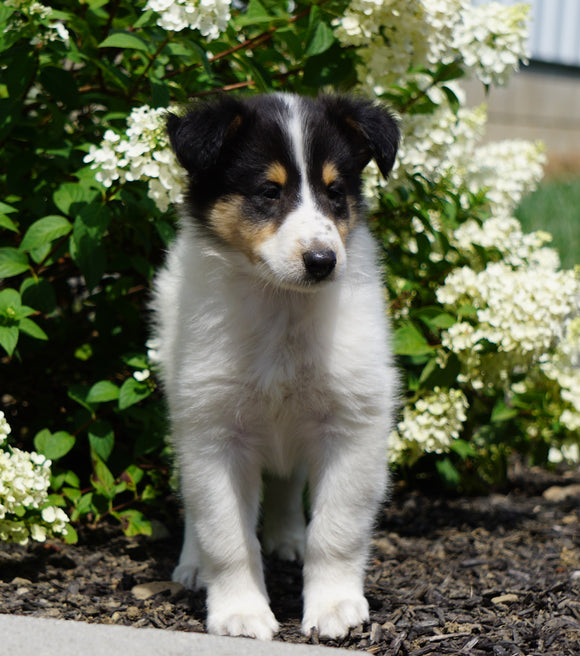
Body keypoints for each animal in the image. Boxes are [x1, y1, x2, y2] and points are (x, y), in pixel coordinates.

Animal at [152, 93, 402, 640]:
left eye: (335, 193)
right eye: (269, 191)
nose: (323, 261)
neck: (284, 310)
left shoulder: (352, 425)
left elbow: (336, 529)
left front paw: (334, 607)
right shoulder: (215, 431)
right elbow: (225, 534)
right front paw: (240, 612)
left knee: (288, 482)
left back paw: (289, 539)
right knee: (195, 503)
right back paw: (193, 564)